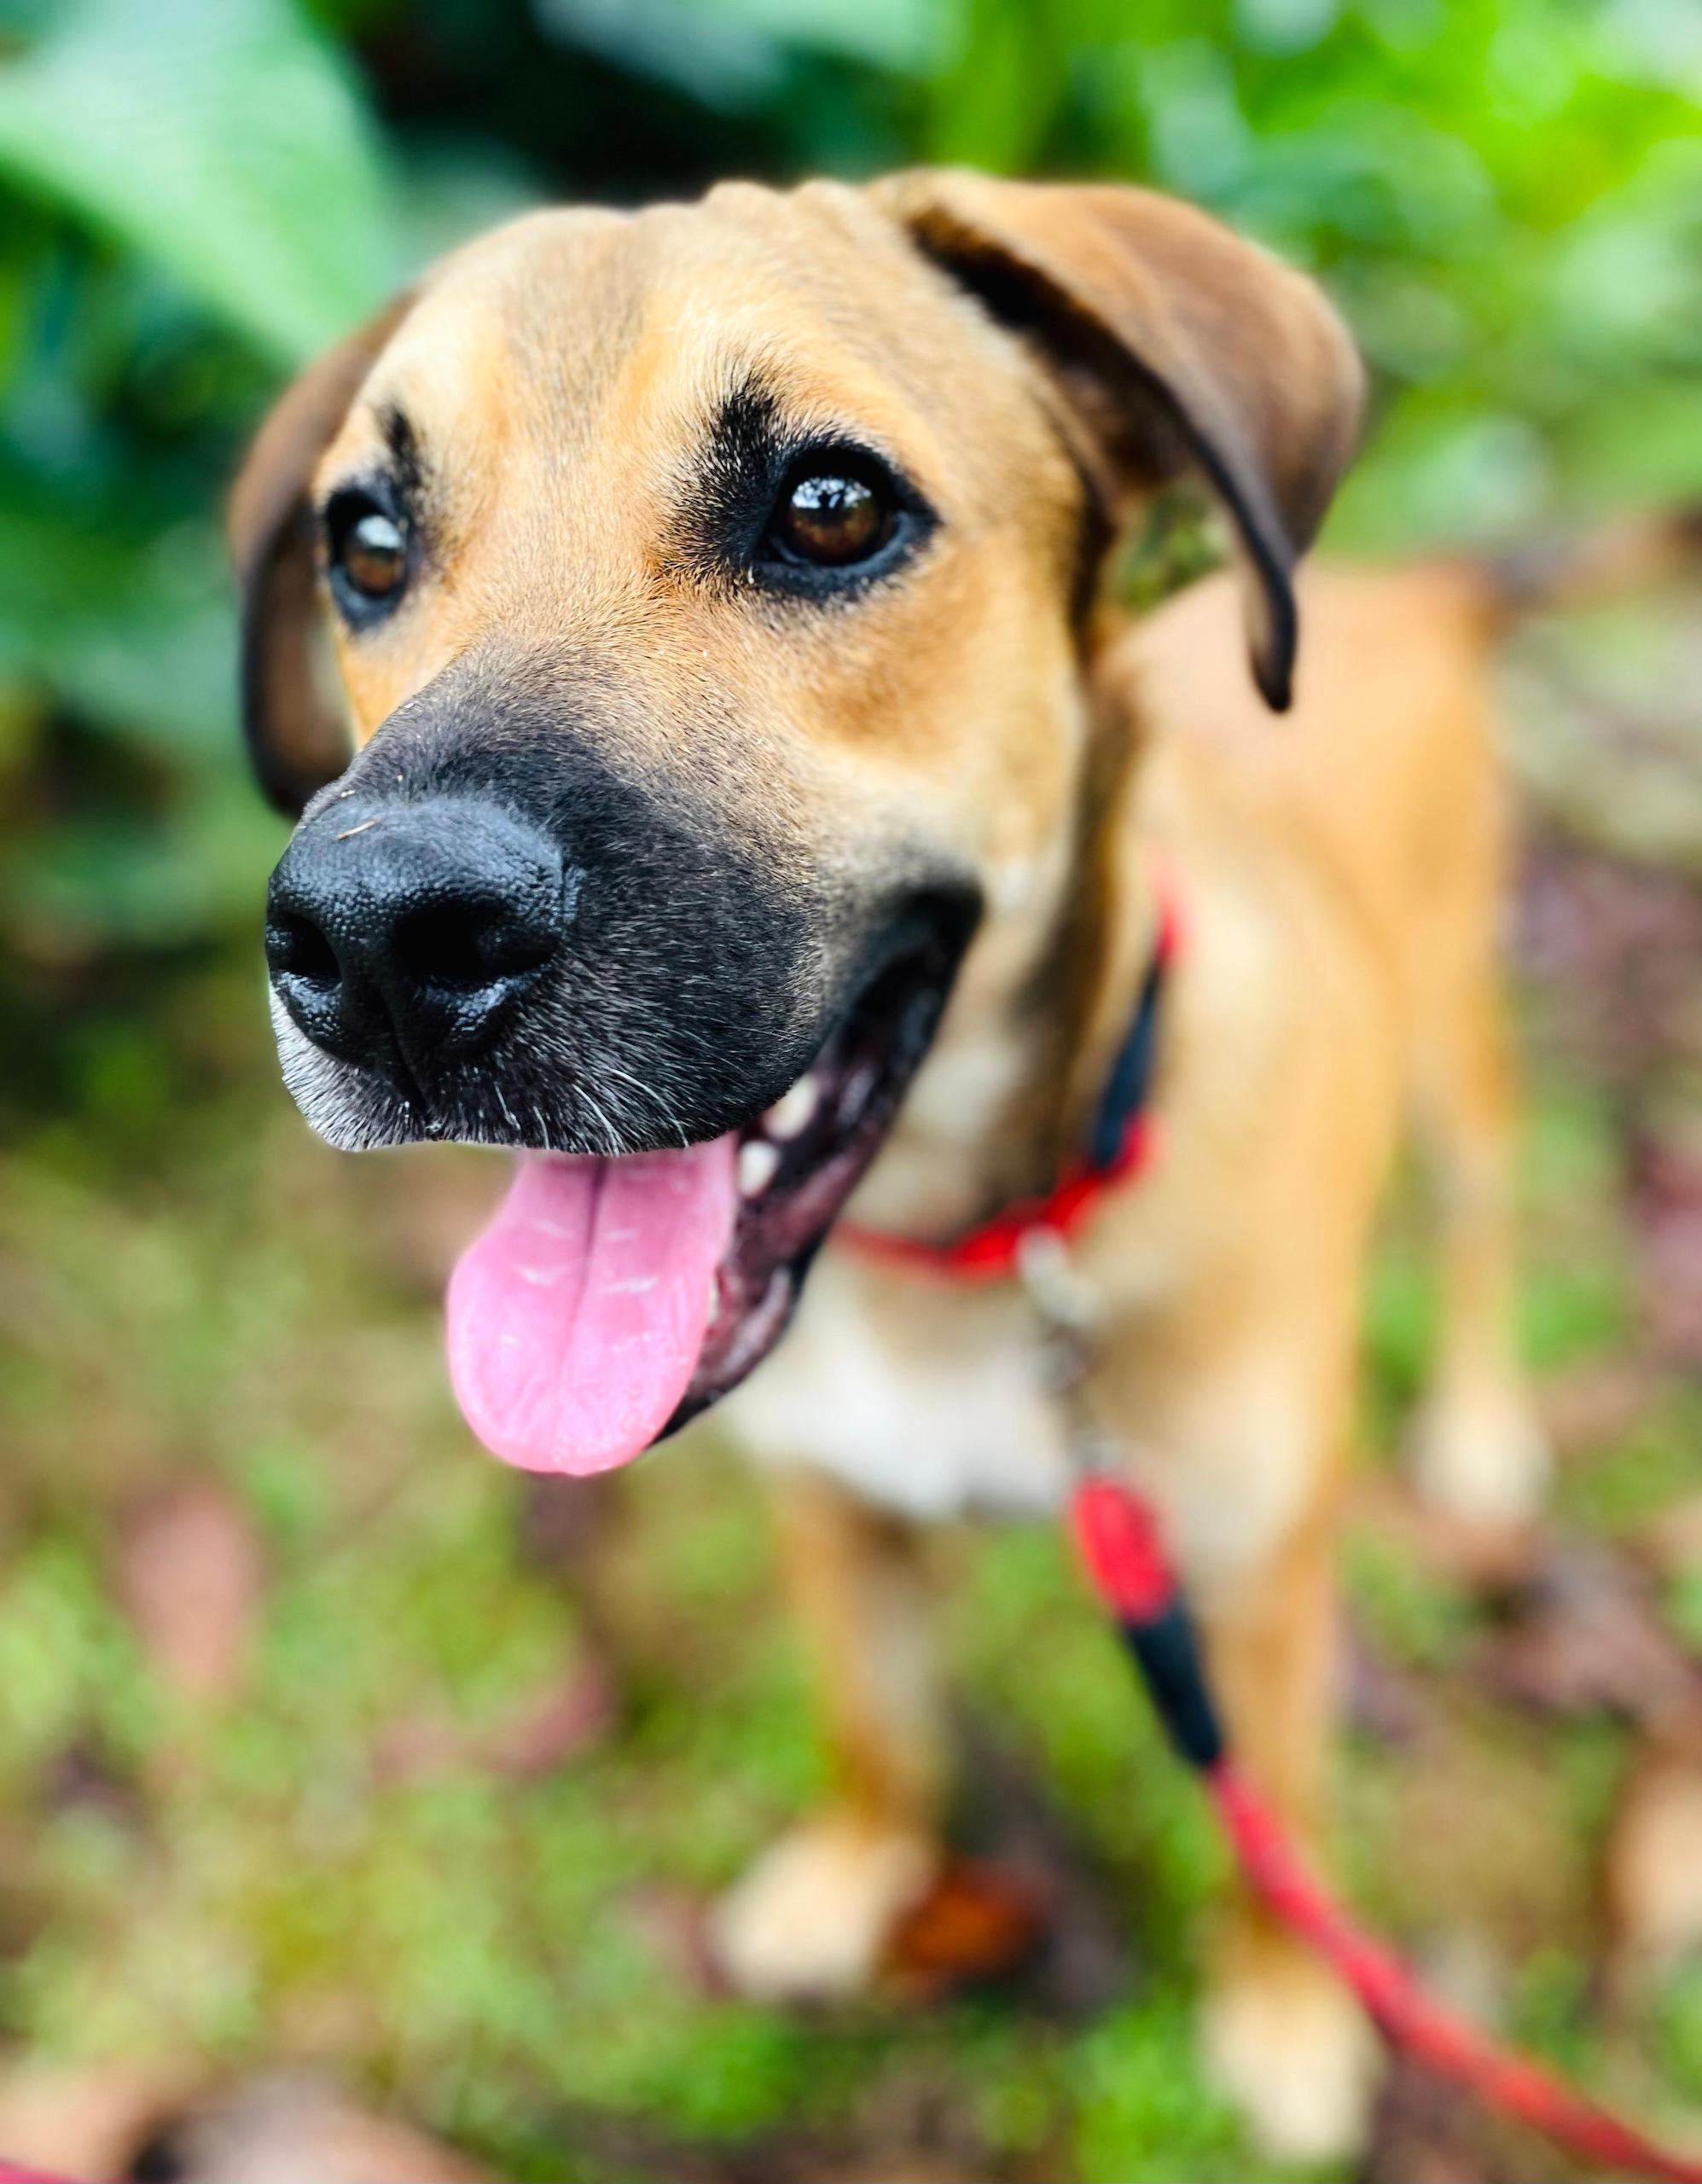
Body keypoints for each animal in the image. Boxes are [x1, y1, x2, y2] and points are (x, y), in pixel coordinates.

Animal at [223, 174, 1660, 2166]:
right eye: (363, 539)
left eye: (830, 507)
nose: (374, 943)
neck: (965, 1249)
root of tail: (1414, 584)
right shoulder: (834, 1507)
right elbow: (878, 1731)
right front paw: (853, 1883)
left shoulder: (1256, 1580)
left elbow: (1272, 1829)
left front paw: (1290, 2029)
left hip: (1457, 1038)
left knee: (1481, 1206)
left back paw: (1478, 1421)